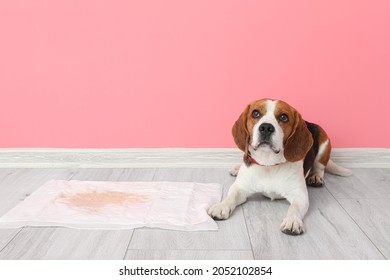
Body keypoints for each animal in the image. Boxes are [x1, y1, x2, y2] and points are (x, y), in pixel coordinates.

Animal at [209, 98, 352, 234]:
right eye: (255, 113)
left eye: (284, 117)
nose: (266, 127)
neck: (268, 164)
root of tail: (308, 123)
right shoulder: (240, 187)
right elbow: (231, 196)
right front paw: (221, 206)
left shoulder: (300, 194)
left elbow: (294, 207)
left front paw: (292, 221)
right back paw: (236, 168)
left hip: (324, 144)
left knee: (320, 168)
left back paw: (315, 177)